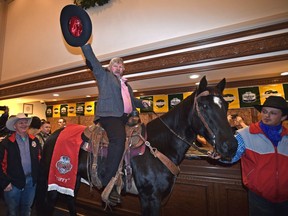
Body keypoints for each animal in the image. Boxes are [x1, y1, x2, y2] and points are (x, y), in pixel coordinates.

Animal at [36, 76, 238, 216]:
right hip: (53, 179)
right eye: (204, 106)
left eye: (226, 105)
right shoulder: (150, 197)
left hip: (74, 179)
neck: (158, 146)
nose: (231, 145)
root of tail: (53, 135)